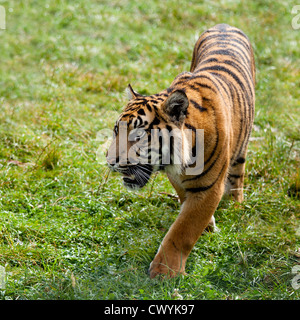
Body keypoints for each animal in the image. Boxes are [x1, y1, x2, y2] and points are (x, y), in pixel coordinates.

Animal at [106, 23, 255, 278]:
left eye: (138, 136)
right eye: (117, 130)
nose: (110, 161)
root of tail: (224, 25)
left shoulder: (210, 187)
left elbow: (183, 229)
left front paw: (164, 272)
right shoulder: (177, 178)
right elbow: (185, 205)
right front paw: (208, 226)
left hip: (242, 146)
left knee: (238, 174)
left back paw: (236, 203)